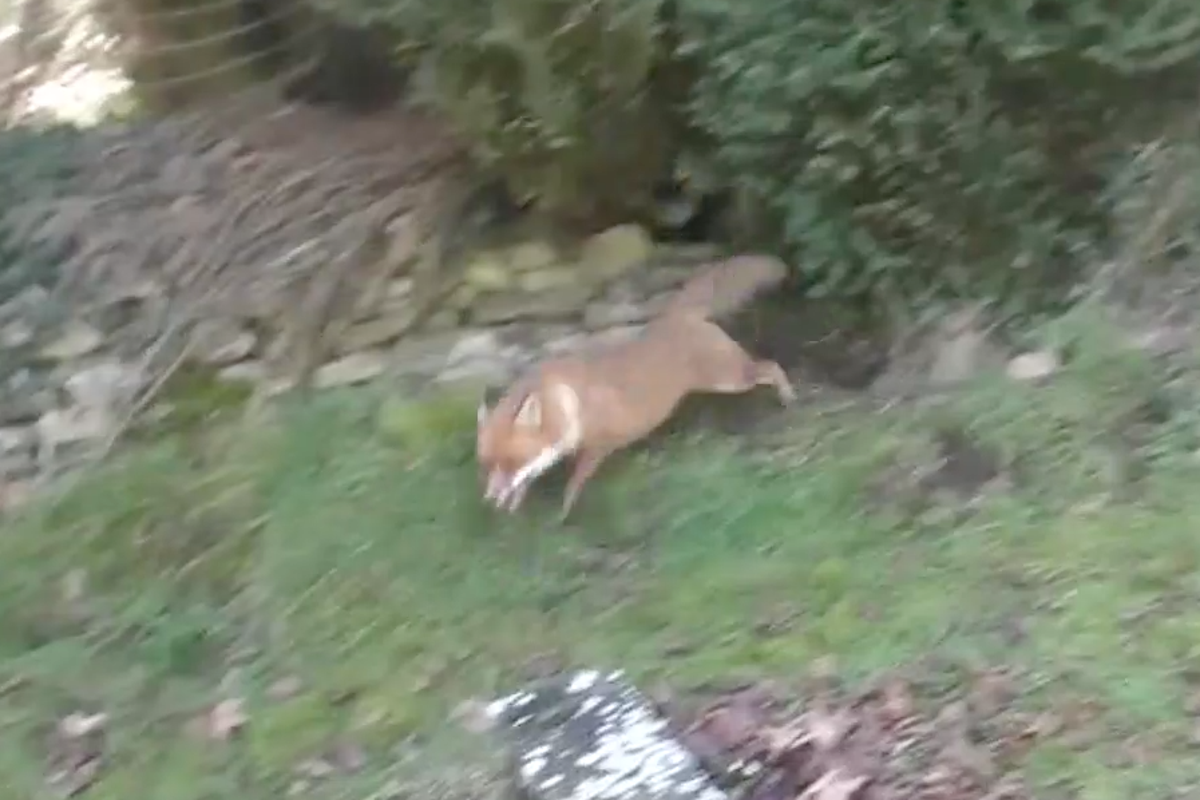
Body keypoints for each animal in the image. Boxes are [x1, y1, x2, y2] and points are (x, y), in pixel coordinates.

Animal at [476, 254, 797, 521]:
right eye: (487, 464)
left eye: (510, 461)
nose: (488, 499)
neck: (565, 403)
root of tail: (674, 315)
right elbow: (529, 478)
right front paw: (515, 503)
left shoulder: (598, 445)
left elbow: (574, 483)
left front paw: (562, 514)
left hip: (729, 379)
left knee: (771, 366)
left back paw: (788, 397)